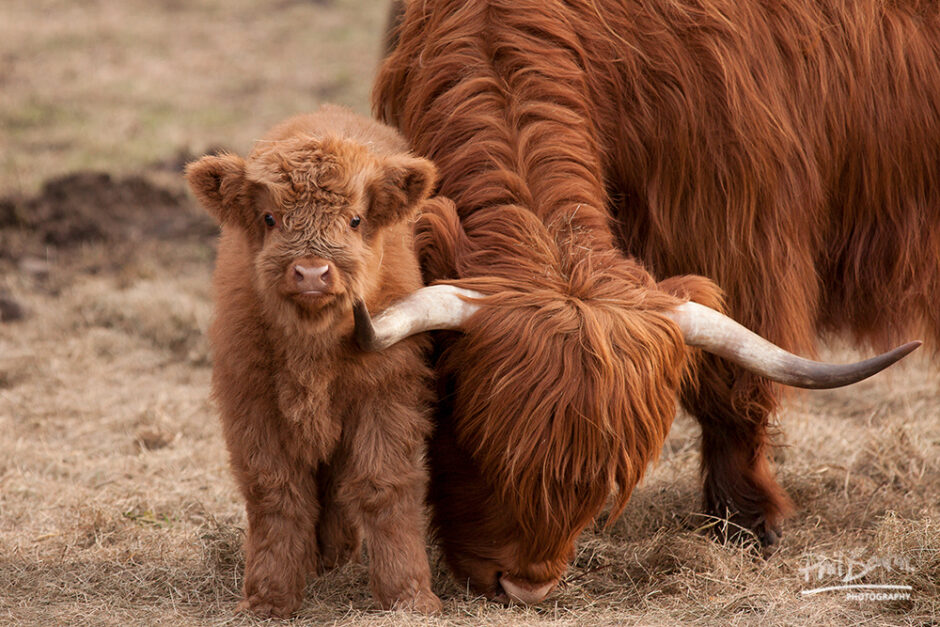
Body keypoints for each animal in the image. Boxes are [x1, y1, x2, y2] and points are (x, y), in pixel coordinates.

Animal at [185, 105, 442, 617]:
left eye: (356, 219)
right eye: (270, 217)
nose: (310, 273)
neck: (312, 351)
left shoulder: (387, 395)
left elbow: (384, 485)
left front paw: (408, 595)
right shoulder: (252, 403)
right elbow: (276, 494)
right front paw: (269, 596)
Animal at [359, 0, 939, 605]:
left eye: (604, 476)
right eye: (477, 439)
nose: (525, 587)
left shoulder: (735, 238)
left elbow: (733, 390)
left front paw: (744, 525)